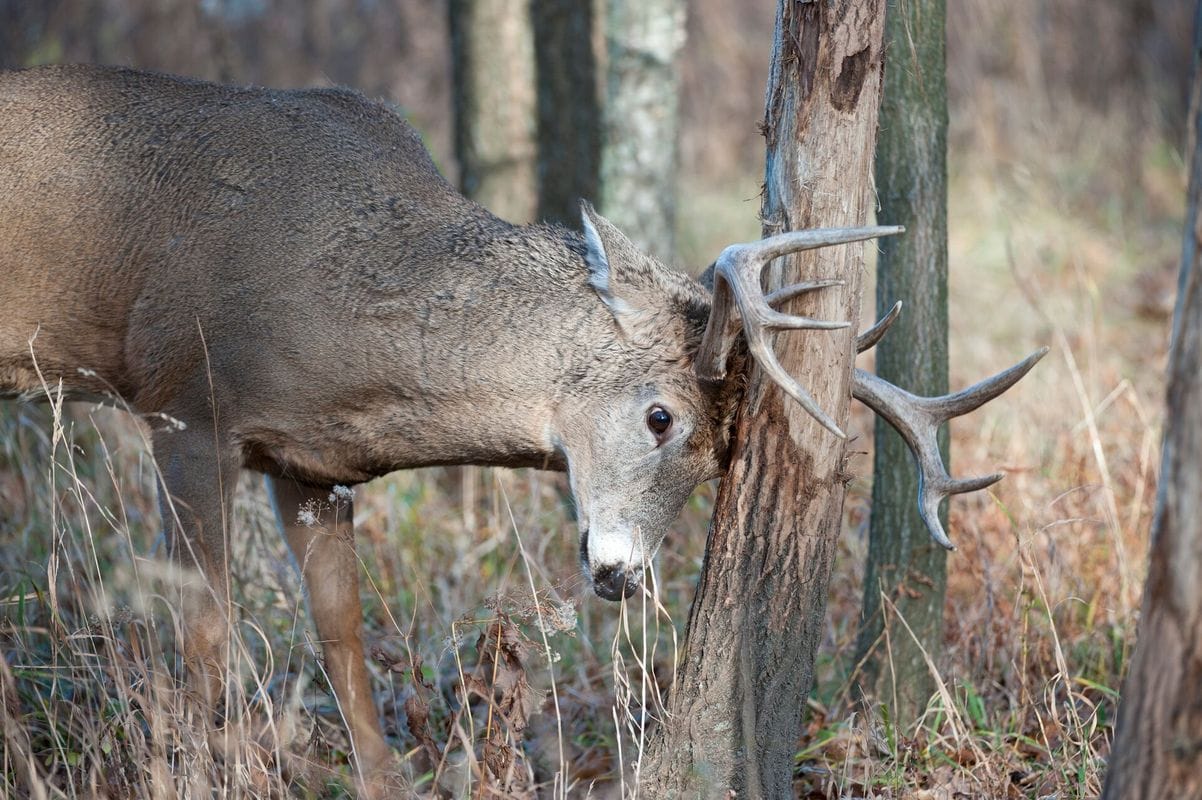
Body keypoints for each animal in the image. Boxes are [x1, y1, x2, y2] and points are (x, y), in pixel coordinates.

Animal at [0, 64, 1045, 791]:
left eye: (721, 460)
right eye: (660, 415)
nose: (624, 575)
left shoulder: (310, 463)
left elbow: (343, 641)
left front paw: (384, 785)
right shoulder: (183, 403)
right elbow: (207, 634)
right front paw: (192, 770)